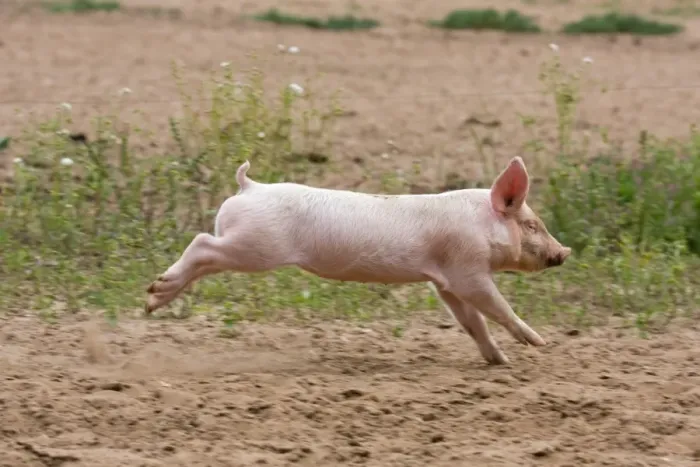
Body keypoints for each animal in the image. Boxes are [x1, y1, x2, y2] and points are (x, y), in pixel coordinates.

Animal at [145, 156, 571, 364]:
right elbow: (496, 305)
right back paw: (154, 295)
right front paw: (540, 343)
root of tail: (250, 186)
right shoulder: (467, 268)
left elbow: (471, 321)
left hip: (245, 245)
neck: (482, 226)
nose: (564, 253)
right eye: (532, 225)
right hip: (255, 246)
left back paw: (153, 301)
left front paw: (500, 362)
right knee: (201, 242)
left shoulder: (446, 281)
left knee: (203, 255)